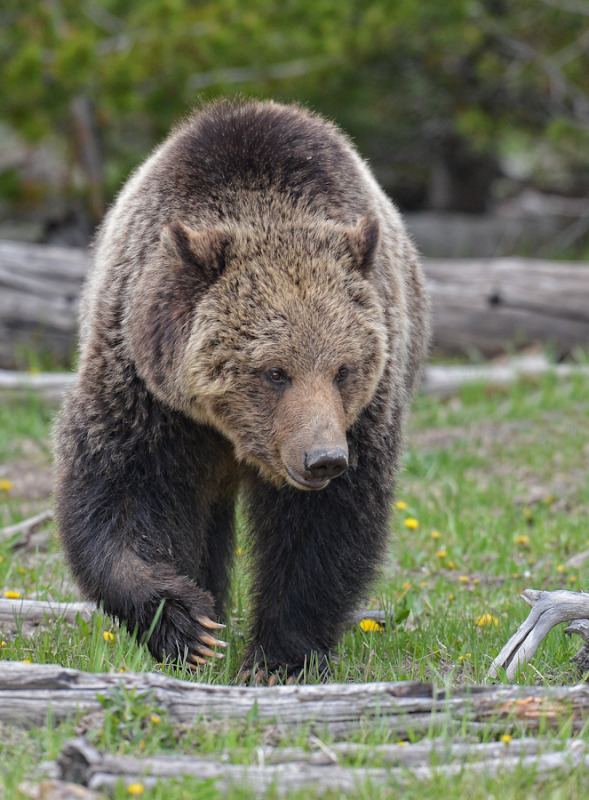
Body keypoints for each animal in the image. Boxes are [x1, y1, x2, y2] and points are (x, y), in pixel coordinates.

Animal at [52, 97, 430, 680]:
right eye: (275, 371)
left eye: (343, 369)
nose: (323, 458)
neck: (227, 428)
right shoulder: (145, 394)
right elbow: (116, 495)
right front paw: (188, 625)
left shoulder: (362, 419)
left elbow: (324, 532)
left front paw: (278, 658)